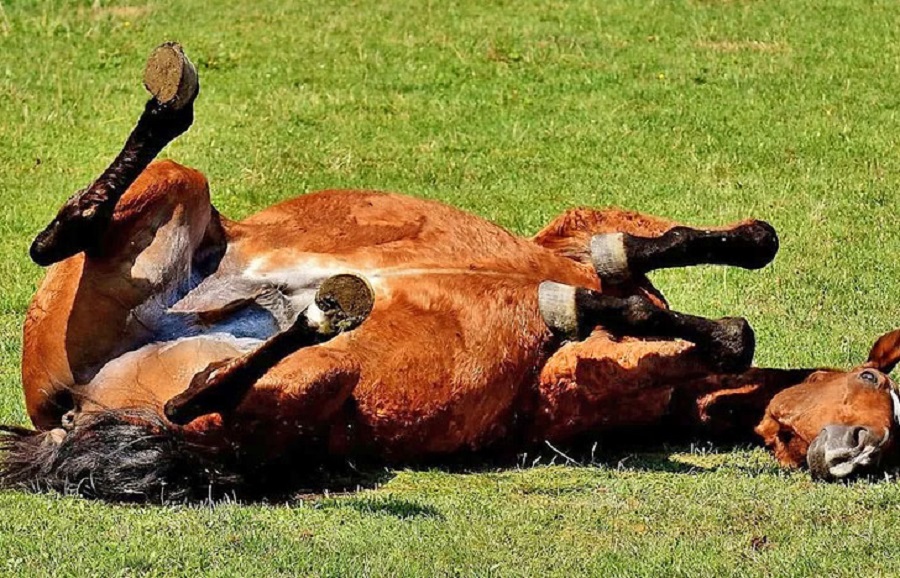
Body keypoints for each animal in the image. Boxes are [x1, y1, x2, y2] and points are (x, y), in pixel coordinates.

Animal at [2, 44, 897, 501]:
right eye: (874, 380)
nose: (857, 455)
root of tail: (65, 414)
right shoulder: (576, 244)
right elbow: (688, 284)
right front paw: (620, 297)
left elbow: (674, 308)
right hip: (182, 208)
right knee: (65, 239)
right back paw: (171, 103)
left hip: (300, 385)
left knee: (198, 393)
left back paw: (320, 308)